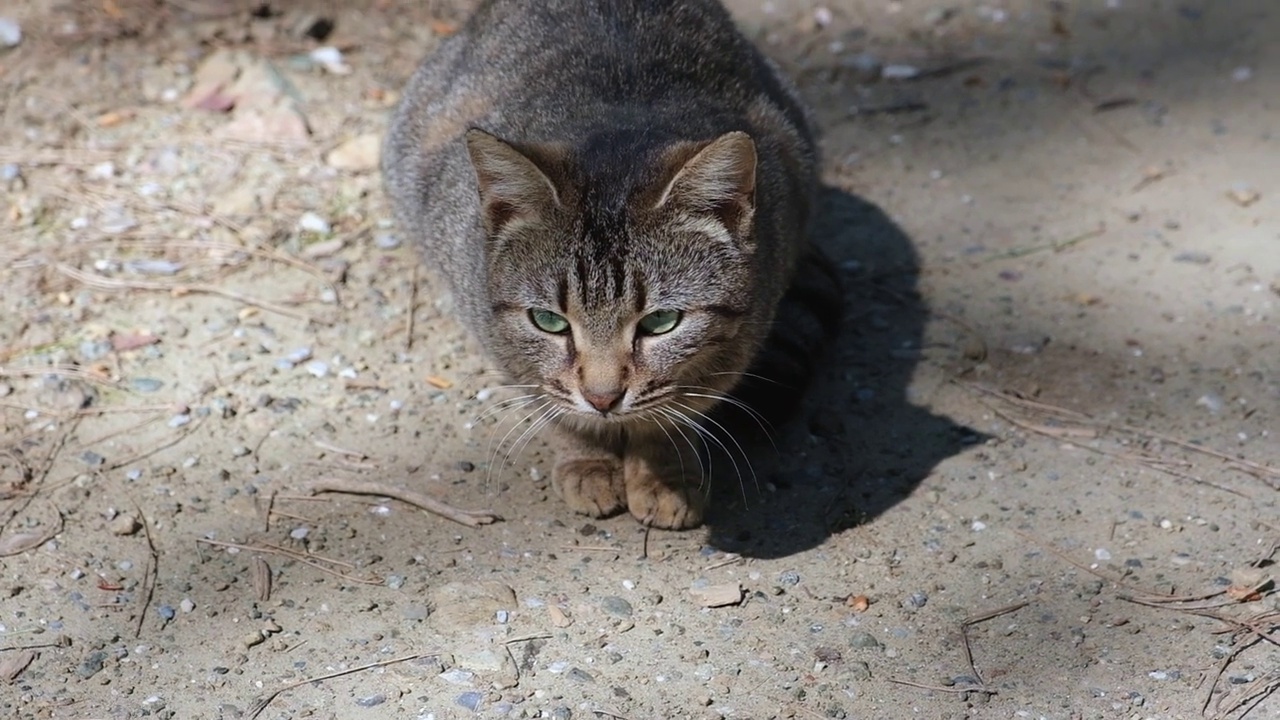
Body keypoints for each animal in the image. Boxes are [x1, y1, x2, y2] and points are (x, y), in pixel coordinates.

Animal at [378, 0, 839, 527]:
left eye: (661, 321)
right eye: (548, 321)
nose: (602, 398)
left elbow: (671, 415)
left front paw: (664, 472)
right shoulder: (503, 346)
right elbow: (558, 407)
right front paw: (589, 461)